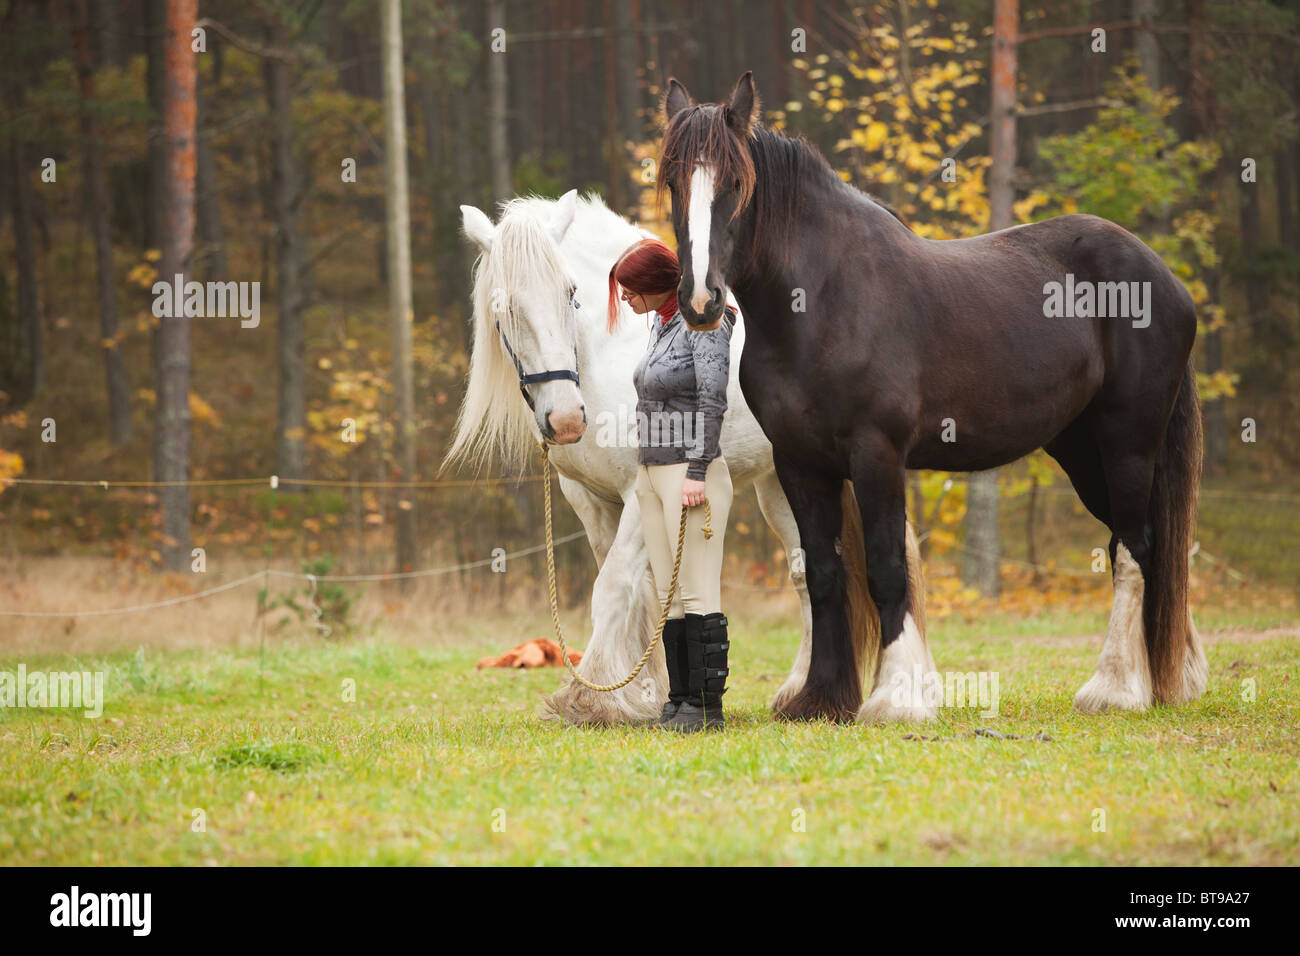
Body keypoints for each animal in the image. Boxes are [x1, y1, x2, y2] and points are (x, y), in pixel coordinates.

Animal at [441, 192, 930, 723]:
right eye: (503, 307)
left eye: (570, 293)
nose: (567, 419)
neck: (611, 352)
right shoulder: (591, 502)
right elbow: (641, 593)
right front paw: (639, 692)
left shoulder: (640, 493)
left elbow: (613, 587)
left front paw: (589, 699)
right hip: (782, 486)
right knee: (807, 574)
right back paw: (799, 692)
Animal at [660, 70, 1206, 723]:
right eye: (672, 182)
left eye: (738, 184)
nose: (700, 300)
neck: (822, 299)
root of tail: (1164, 278)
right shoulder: (799, 463)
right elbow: (824, 574)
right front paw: (820, 698)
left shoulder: (876, 453)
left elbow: (887, 570)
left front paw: (897, 696)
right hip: (1083, 454)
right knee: (1149, 547)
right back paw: (1173, 679)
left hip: (1128, 445)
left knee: (1134, 549)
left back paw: (1115, 689)